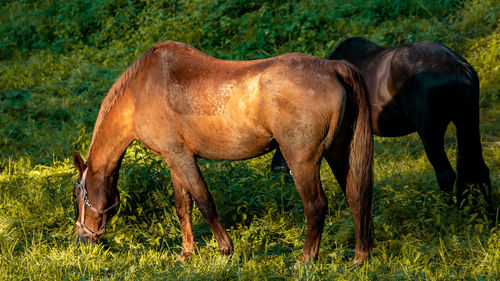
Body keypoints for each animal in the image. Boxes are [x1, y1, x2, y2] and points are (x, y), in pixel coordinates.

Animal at [72, 40, 374, 264]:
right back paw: (360, 257)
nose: (81, 239)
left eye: (78, 195)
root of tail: (333, 67)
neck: (140, 91)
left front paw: (226, 251)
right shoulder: (175, 159)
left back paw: (306, 260)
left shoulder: (181, 158)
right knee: (357, 197)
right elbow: (183, 206)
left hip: (302, 162)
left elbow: (205, 202)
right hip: (339, 154)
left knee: (316, 206)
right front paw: (186, 253)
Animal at [272, 37, 490, 206]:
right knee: (478, 169)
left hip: (430, 131)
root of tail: (458, 66)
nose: (277, 169)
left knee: (446, 173)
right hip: (467, 122)